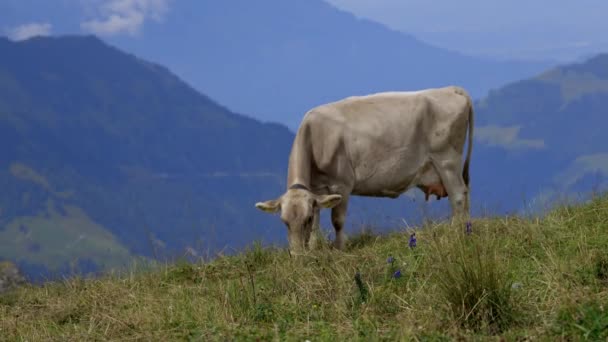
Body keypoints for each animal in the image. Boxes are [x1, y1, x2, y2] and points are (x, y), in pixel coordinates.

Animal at [256, 85, 476, 254]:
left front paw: (339, 249)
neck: (316, 137)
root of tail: (451, 88)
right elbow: (318, 220)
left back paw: (456, 232)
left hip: (447, 160)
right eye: (284, 221)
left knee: (458, 195)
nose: (297, 255)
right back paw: (467, 229)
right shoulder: (317, 189)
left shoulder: (342, 184)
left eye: (305, 219)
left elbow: (337, 220)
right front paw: (314, 247)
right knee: (464, 194)